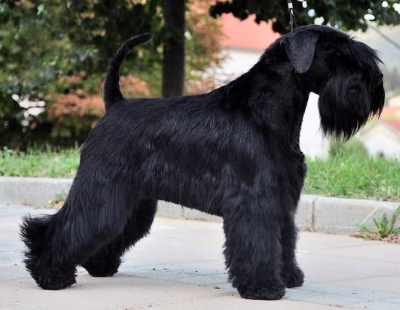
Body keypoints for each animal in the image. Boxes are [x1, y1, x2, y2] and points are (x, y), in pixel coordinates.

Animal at [21, 25, 384, 302]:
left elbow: (285, 239)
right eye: (338, 54)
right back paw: (49, 273)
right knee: (63, 226)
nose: (375, 82)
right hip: (103, 190)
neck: (265, 111)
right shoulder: (255, 200)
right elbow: (259, 243)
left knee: (108, 229)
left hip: (133, 200)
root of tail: (114, 105)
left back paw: (98, 266)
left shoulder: (282, 198)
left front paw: (289, 276)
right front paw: (264, 287)